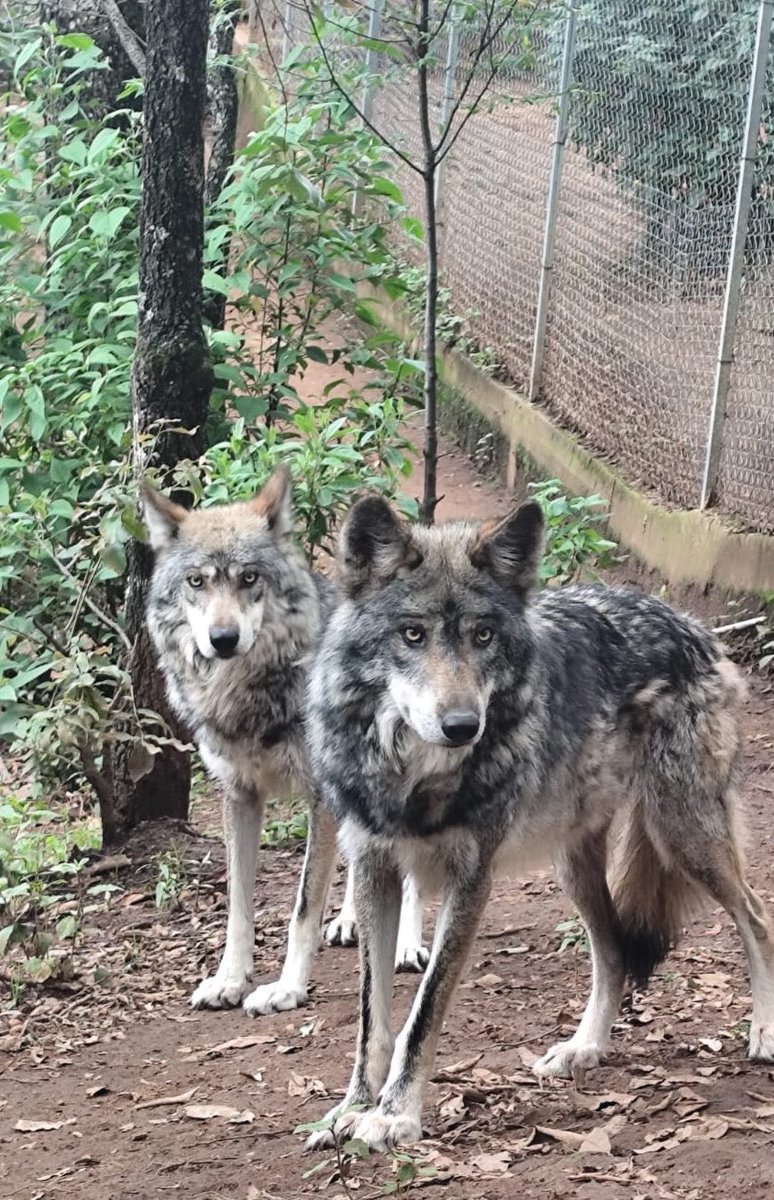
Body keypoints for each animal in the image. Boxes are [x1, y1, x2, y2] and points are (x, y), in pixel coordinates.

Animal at [142, 468, 427, 1017]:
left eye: (249, 578)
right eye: (196, 581)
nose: (223, 638)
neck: (249, 696)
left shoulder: (318, 798)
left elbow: (302, 907)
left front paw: (287, 988)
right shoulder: (239, 796)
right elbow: (238, 905)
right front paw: (230, 979)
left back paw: (407, 943)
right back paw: (352, 919)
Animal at [305, 494, 774, 1151]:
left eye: (483, 636)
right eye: (412, 634)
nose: (462, 726)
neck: (415, 778)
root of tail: (690, 623)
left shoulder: (471, 881)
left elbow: (421, 1013)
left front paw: (394, 1116)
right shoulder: (374, 869)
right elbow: (373, 1020)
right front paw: (349, 1109)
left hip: (683, 833)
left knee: (755, 915)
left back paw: (764, 1030)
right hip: (576, 865)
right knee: (614, 953)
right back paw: (585, 1049)